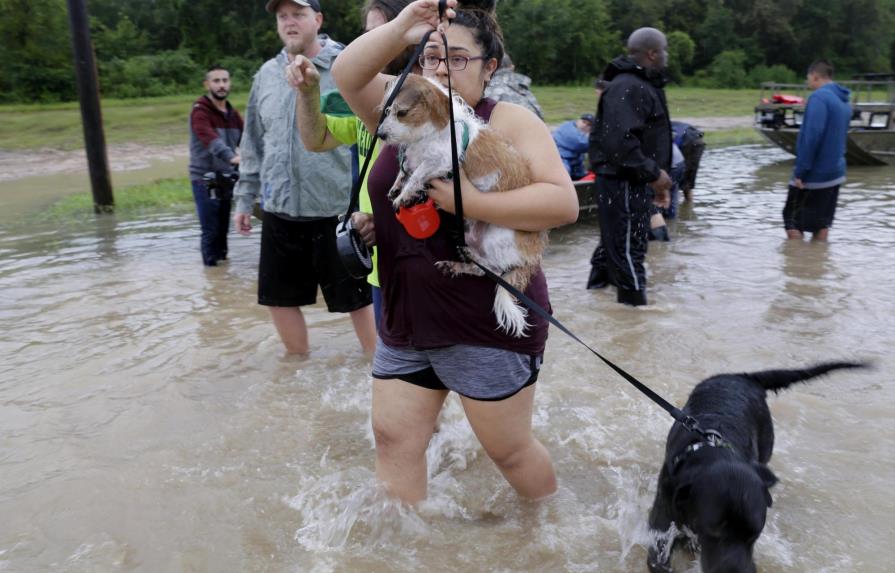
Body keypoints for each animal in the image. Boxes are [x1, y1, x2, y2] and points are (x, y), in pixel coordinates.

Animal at [376, 73, 544, 338]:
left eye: (402, 113)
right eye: (386, 110)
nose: (381, 134)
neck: (429, 134)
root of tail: (531, 257)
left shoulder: (442, 161)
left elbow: (418, 174)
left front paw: (404, 194)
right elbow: (406, 171)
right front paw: (398, 185)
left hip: (496, 236)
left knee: (494, 269)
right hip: (469, 234)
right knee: (484, 268)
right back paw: (457, 263)